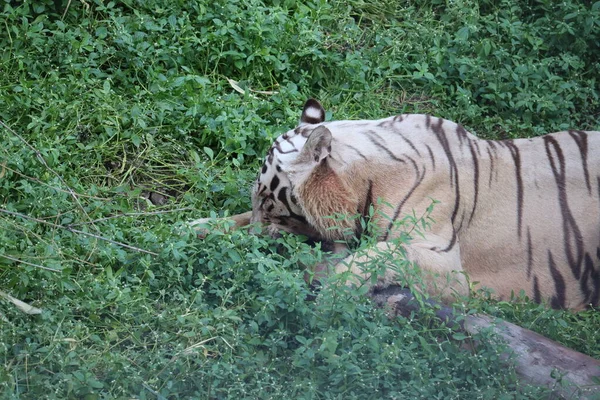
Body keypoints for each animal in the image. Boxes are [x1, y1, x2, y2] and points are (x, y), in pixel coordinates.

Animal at [195, 99, 596, 310]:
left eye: (268, 201)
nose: (255, 236)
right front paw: (197, 228)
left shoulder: (447, 265)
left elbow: (383, 253)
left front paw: (333, 293)